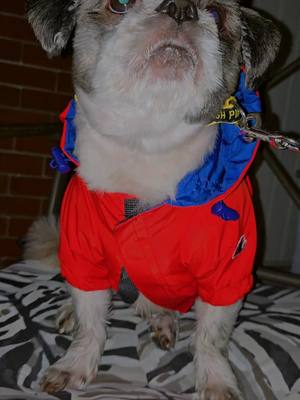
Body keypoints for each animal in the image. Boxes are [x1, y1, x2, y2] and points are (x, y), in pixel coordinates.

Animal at [26, 1, 282, 398]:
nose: (181, 8)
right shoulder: (83, 251)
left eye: (217, 14)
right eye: (118, 4)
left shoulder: (227, 272)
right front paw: (76, 363)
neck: (147, 144)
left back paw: (162, 318)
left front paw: (216, 379)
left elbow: (212, 338)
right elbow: (90, 320)